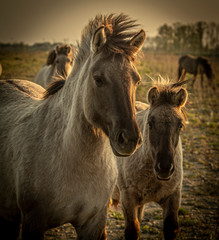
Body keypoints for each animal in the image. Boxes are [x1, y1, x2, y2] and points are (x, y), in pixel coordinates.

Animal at [112, 79, 189, 240]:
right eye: (150, 123)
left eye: (180, 125)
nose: (164, 168)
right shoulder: (128, 200)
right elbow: (132, 231)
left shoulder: (173, 198)